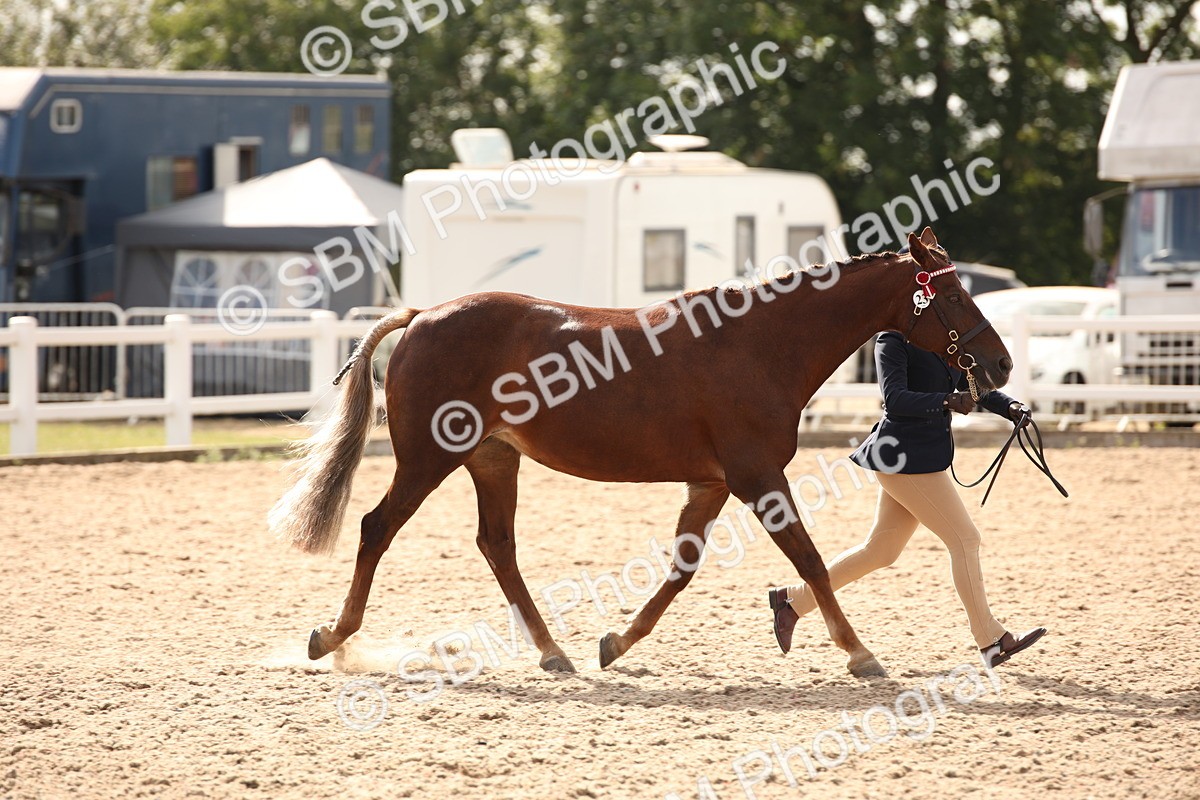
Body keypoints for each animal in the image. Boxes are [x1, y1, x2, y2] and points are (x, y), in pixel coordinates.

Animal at [269, 227, 1012, 679]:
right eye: (951, 292)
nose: (1000, 364)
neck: (759, 344)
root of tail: (421, 315)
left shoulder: (713, 485)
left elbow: (682, 569)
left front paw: (616, 642)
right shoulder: (757, 477)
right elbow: (810, 560)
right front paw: (860, 654)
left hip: (492, 460)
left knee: (497, 546)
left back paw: (554, 652)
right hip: (429, 458)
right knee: (378, 528)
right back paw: (331, 638)